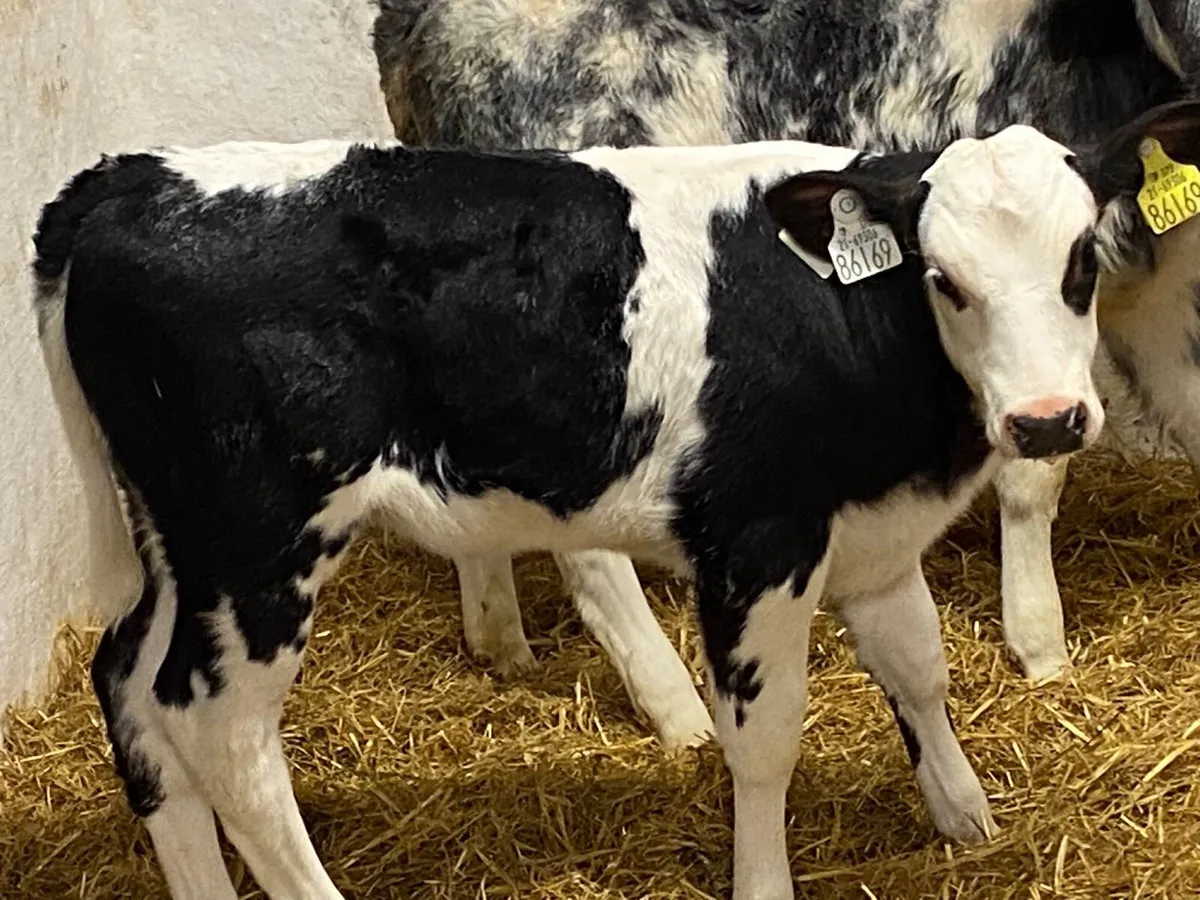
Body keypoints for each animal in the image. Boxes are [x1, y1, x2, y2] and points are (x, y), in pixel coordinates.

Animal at [32, 94, 1200, 899]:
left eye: (1081, 262)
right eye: (943, 278)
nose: (1046, 421)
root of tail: (120, 182)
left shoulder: (869, 531)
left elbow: (918, 668)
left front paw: (967, 817)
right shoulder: (755, 540)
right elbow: (765, 739)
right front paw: (765, 881)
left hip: (174, 540)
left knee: (129, 686)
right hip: (255, 540)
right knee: (213, 722)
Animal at [370, 0, 1200, 736]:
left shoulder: (1151, 289)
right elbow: (1032, 479)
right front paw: (1041, 646)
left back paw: (499, 639)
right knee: (590, 549)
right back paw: (679, 715)